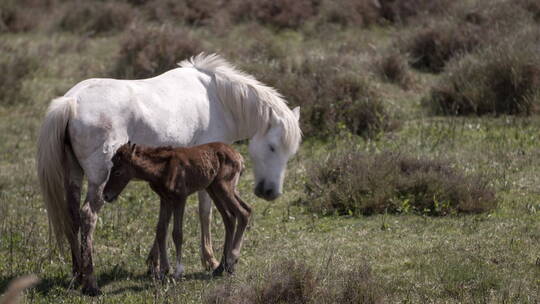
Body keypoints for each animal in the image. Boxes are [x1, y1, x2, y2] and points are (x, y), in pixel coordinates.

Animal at [103, 142, 251, 278]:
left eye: (118, 172)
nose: (106, 195)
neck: (162, 169)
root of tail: (240, 157)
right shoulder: (165, 199)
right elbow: (161, 230)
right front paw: (163, 270)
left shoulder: (180, 197)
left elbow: (177, 233)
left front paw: (178, 271)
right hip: (213, 188)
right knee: (231, 217)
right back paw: (222, 267)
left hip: (223, 186)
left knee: (243, 212)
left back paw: (231, 261)